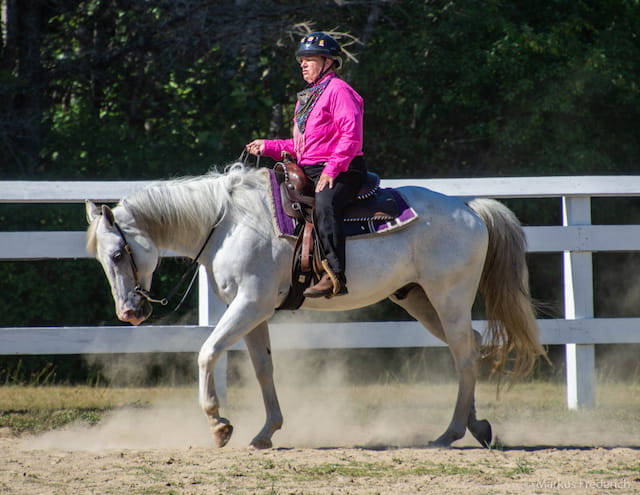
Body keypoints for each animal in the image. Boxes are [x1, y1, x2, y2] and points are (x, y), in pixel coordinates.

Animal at [85, 163, 544, 449]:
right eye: (104, 259)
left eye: (117, 254)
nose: (129, 313)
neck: (228, 222)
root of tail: (468, 208)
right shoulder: (253, 312)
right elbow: (263, 368)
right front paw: (267, 431)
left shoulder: (249, 305)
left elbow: (207, 352)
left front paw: (218, 424)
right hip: (420, 299)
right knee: (470, 345)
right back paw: (476, 425)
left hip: (448, 297)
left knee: (465, 353)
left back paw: (450, 432)